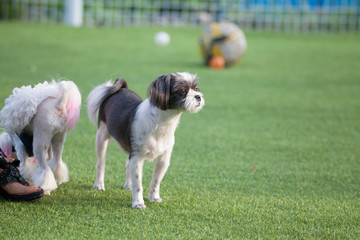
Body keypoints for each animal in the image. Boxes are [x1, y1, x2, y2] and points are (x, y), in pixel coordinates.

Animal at [86, 71, 205, 208]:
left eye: (196, 88)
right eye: (182, 91)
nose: (198, 96)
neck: (162, 124)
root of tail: (121, 88)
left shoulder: (163, 159)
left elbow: (156, 181)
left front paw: (154, 197)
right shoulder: (137, 158)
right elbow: (139, 185)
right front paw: (138, 203)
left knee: (127, 164)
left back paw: (128, 184)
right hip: (101, 136)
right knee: (101, 163)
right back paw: (99, 185)